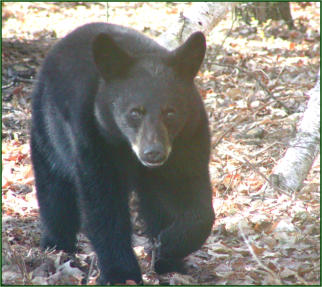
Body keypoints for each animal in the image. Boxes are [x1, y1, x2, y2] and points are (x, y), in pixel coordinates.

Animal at [30, 23, 214, 286]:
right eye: (135, 112)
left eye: (170, 112)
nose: (153, 153)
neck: (128, 148)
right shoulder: (94, 138)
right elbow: (104, 203)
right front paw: (121, 273)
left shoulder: (188, 137)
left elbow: (193, 193)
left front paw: (169, 245)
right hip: (48, 129)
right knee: (54, 188)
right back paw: (57, 245)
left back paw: (169, 262)